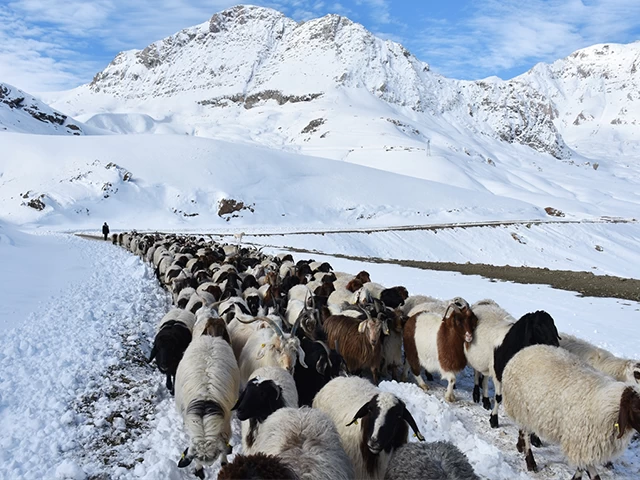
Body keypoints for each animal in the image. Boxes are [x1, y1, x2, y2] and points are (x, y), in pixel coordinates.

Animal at [504, 344, 640, 476]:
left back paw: (520, 447)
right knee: (524, 433)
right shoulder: (581, 443)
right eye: (635, 407)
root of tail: (525, 349)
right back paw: (531, 462)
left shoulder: (585, 446)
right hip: (521, 408)